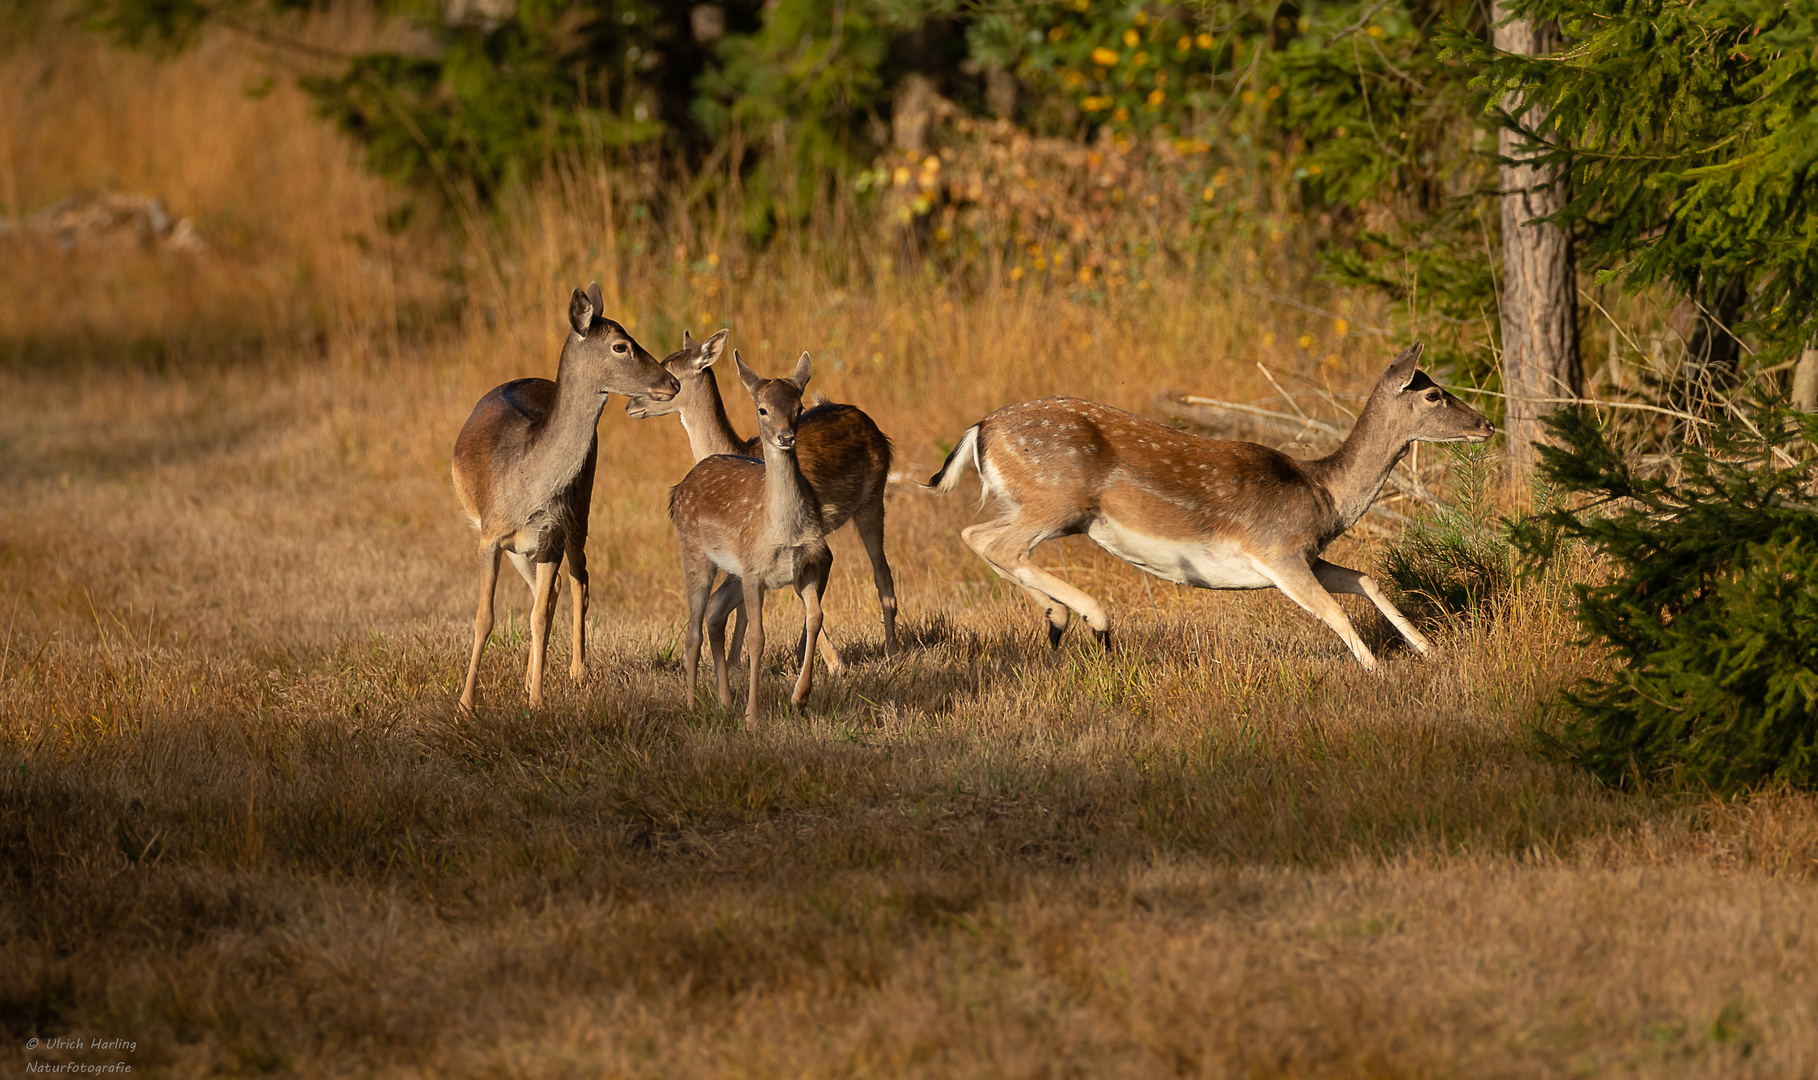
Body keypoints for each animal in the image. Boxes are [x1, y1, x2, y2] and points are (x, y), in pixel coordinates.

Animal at [454, 281, 683, 709]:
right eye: (621, 346)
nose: (672, 382)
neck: (526, 484)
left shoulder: (552, 535)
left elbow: (539, 616)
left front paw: (536, 702)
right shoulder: (490, 535)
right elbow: (485, 617)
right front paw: (465, 704)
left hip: (581, 507)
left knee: (579, 580)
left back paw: (577, 672)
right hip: (524, 544)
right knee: (554, 589)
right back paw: (531, 677)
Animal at [629, 323, 905, 661]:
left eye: (669, 371)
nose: (630, 405)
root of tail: (878, 431)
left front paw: (833, 663)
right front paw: (736, 661)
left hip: (872, 500)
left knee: (883, 573)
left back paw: (892, 652)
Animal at [672, 350, 832, 723]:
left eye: (799, 407)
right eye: (762, 409)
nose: (786, 437)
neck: (782, 530)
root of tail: (679, 489)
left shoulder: (808, 564)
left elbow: (815, 617)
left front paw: (799, 697)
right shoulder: (754, 570)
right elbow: (757, 638)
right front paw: (753, 717)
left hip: (731, 570)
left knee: (713, 613)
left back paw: (725, 700)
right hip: (695, 552)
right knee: (692, 630)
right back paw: (691, 706)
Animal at [930, 340, 1498, 669]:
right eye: (1434, 395)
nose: (1487, 423)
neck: (1325, 495)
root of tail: (979, 430)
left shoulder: (1303, 554)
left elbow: (1364, 579)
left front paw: (1429, 649)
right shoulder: (1276, 548)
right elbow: (1333, 610)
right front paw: (1376, 670)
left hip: (1037, 504)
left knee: (985, 540)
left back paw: (1057, 616)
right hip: (1057, 498)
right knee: (991, 541)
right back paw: (1094, 617)